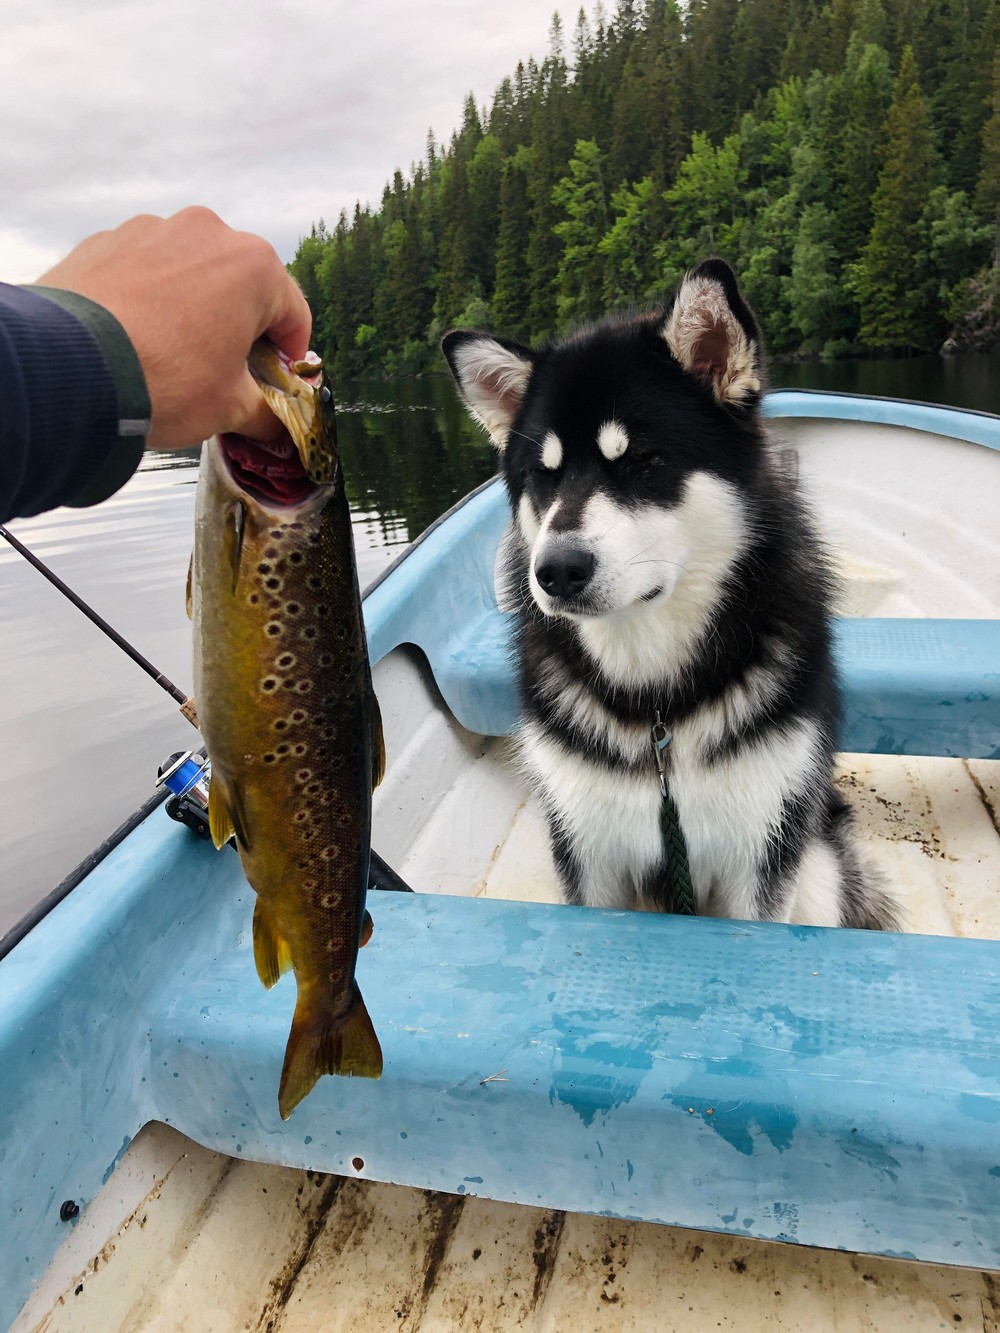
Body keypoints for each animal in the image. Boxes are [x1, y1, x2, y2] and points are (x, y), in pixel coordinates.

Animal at [445, 257, 901, 927]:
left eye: (641, 459)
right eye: (544, 475)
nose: (555, 571)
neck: (657, 709)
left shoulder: (760, 852)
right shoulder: (588, 851)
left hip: (814, 871)